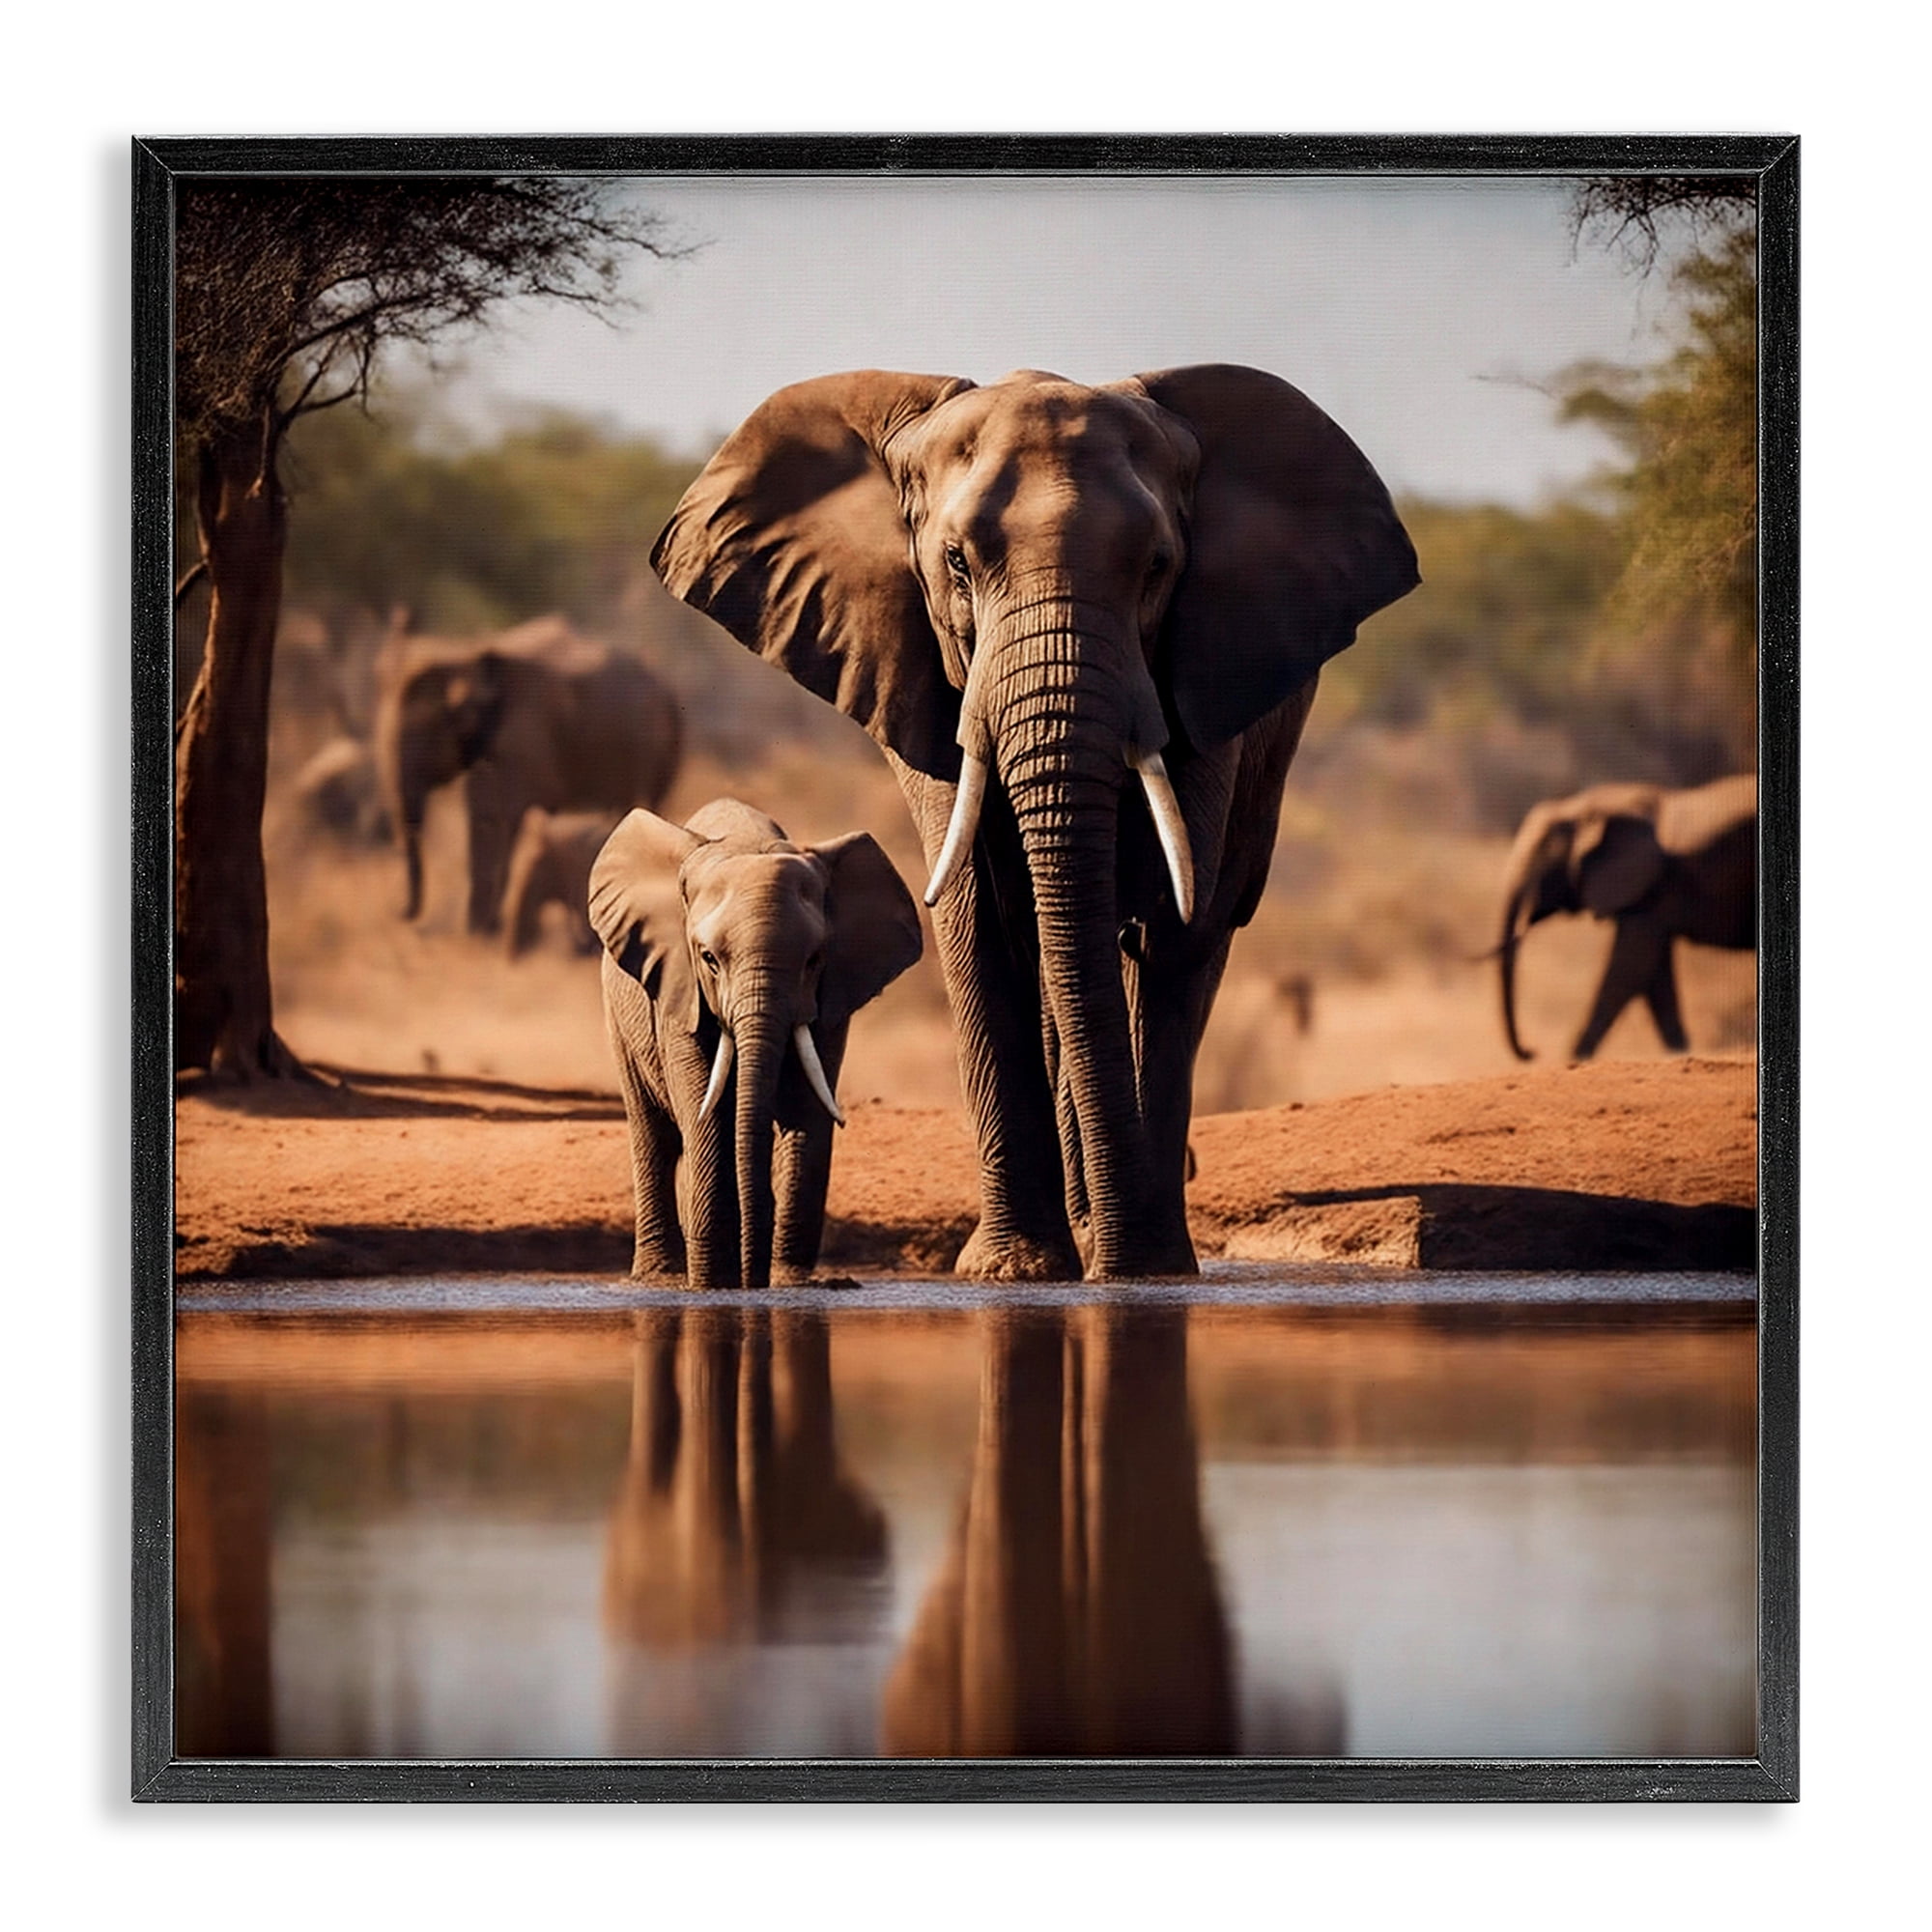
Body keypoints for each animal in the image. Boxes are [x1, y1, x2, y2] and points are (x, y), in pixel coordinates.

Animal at [373, 616, 682, 935]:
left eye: (427, 732)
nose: (399, 914)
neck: (464, 655)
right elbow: (482, 817)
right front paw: (476, 931)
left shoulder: (525, 739)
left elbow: (506, 816)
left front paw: (488, 930)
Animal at [591, 798, 924, 1290]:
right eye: (709, 959)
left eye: (814, 960)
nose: (753, 1279)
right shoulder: (679, 986)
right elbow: (704, 1110)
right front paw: (713, 1284)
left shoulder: (832, 996)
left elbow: (807, 1108)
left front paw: (790, 1284)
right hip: (621, 1016)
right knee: (653, 1135)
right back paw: (660, 1278)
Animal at [654, 364, 1418, 1280]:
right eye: (955, 562)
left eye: (1158, 567)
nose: (1115, 1260)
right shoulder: (926, 681)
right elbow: (979, 917)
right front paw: (1017, 1271)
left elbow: (1171, 925)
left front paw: (1147, 1268)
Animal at [1497, 773, 1757, 1061]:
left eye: (1542, 865)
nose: (1532, 1051)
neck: (1586, 805)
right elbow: (1653, 974)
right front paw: (1680, 1054)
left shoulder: (1648, 886)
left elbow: (1629, 966)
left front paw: (1574, 1060)